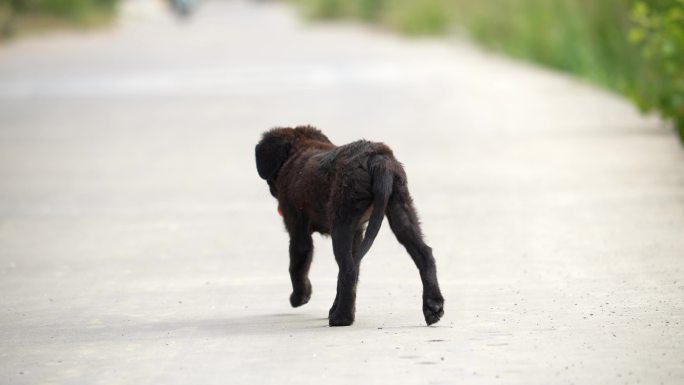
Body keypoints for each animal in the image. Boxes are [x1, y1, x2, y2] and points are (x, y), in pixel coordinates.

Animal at [256, 127, 444, 326]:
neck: (297, 151)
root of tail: (379, 159)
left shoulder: (297, 227)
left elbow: (297, 265)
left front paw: (299, 298)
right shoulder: (358, 232)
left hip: (342, 222)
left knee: (347, 269)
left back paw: (341, 317)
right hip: (400, 209)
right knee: (424, 254)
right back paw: (433, 307)